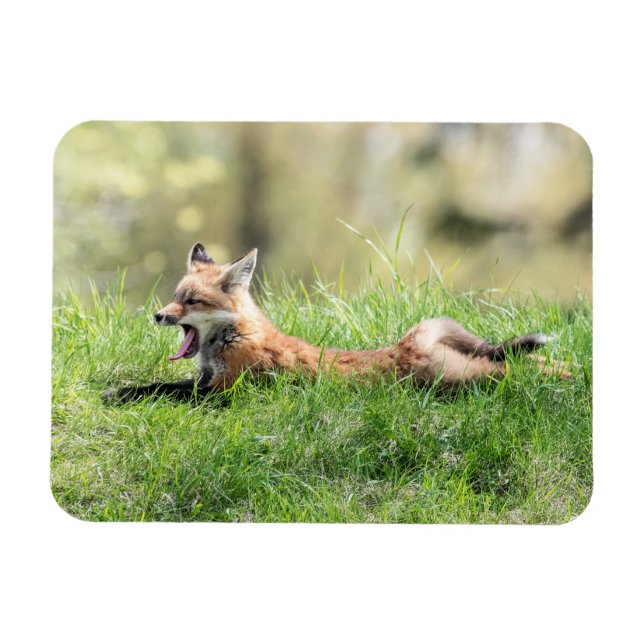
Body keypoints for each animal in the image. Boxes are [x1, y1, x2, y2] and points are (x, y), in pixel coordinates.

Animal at [103, 243, 571, 402]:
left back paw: (564, 376)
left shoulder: (224, 392)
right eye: (174, 297)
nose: (158, 314)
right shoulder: (203, 381)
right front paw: (121, 390)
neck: (232, 339)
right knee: (516, 360)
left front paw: (120, 395)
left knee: (511, 367)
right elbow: (155, 385)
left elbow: (165, 392)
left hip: (461, 378)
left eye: (191, 301)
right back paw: (566, 371)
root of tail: (405, 345)